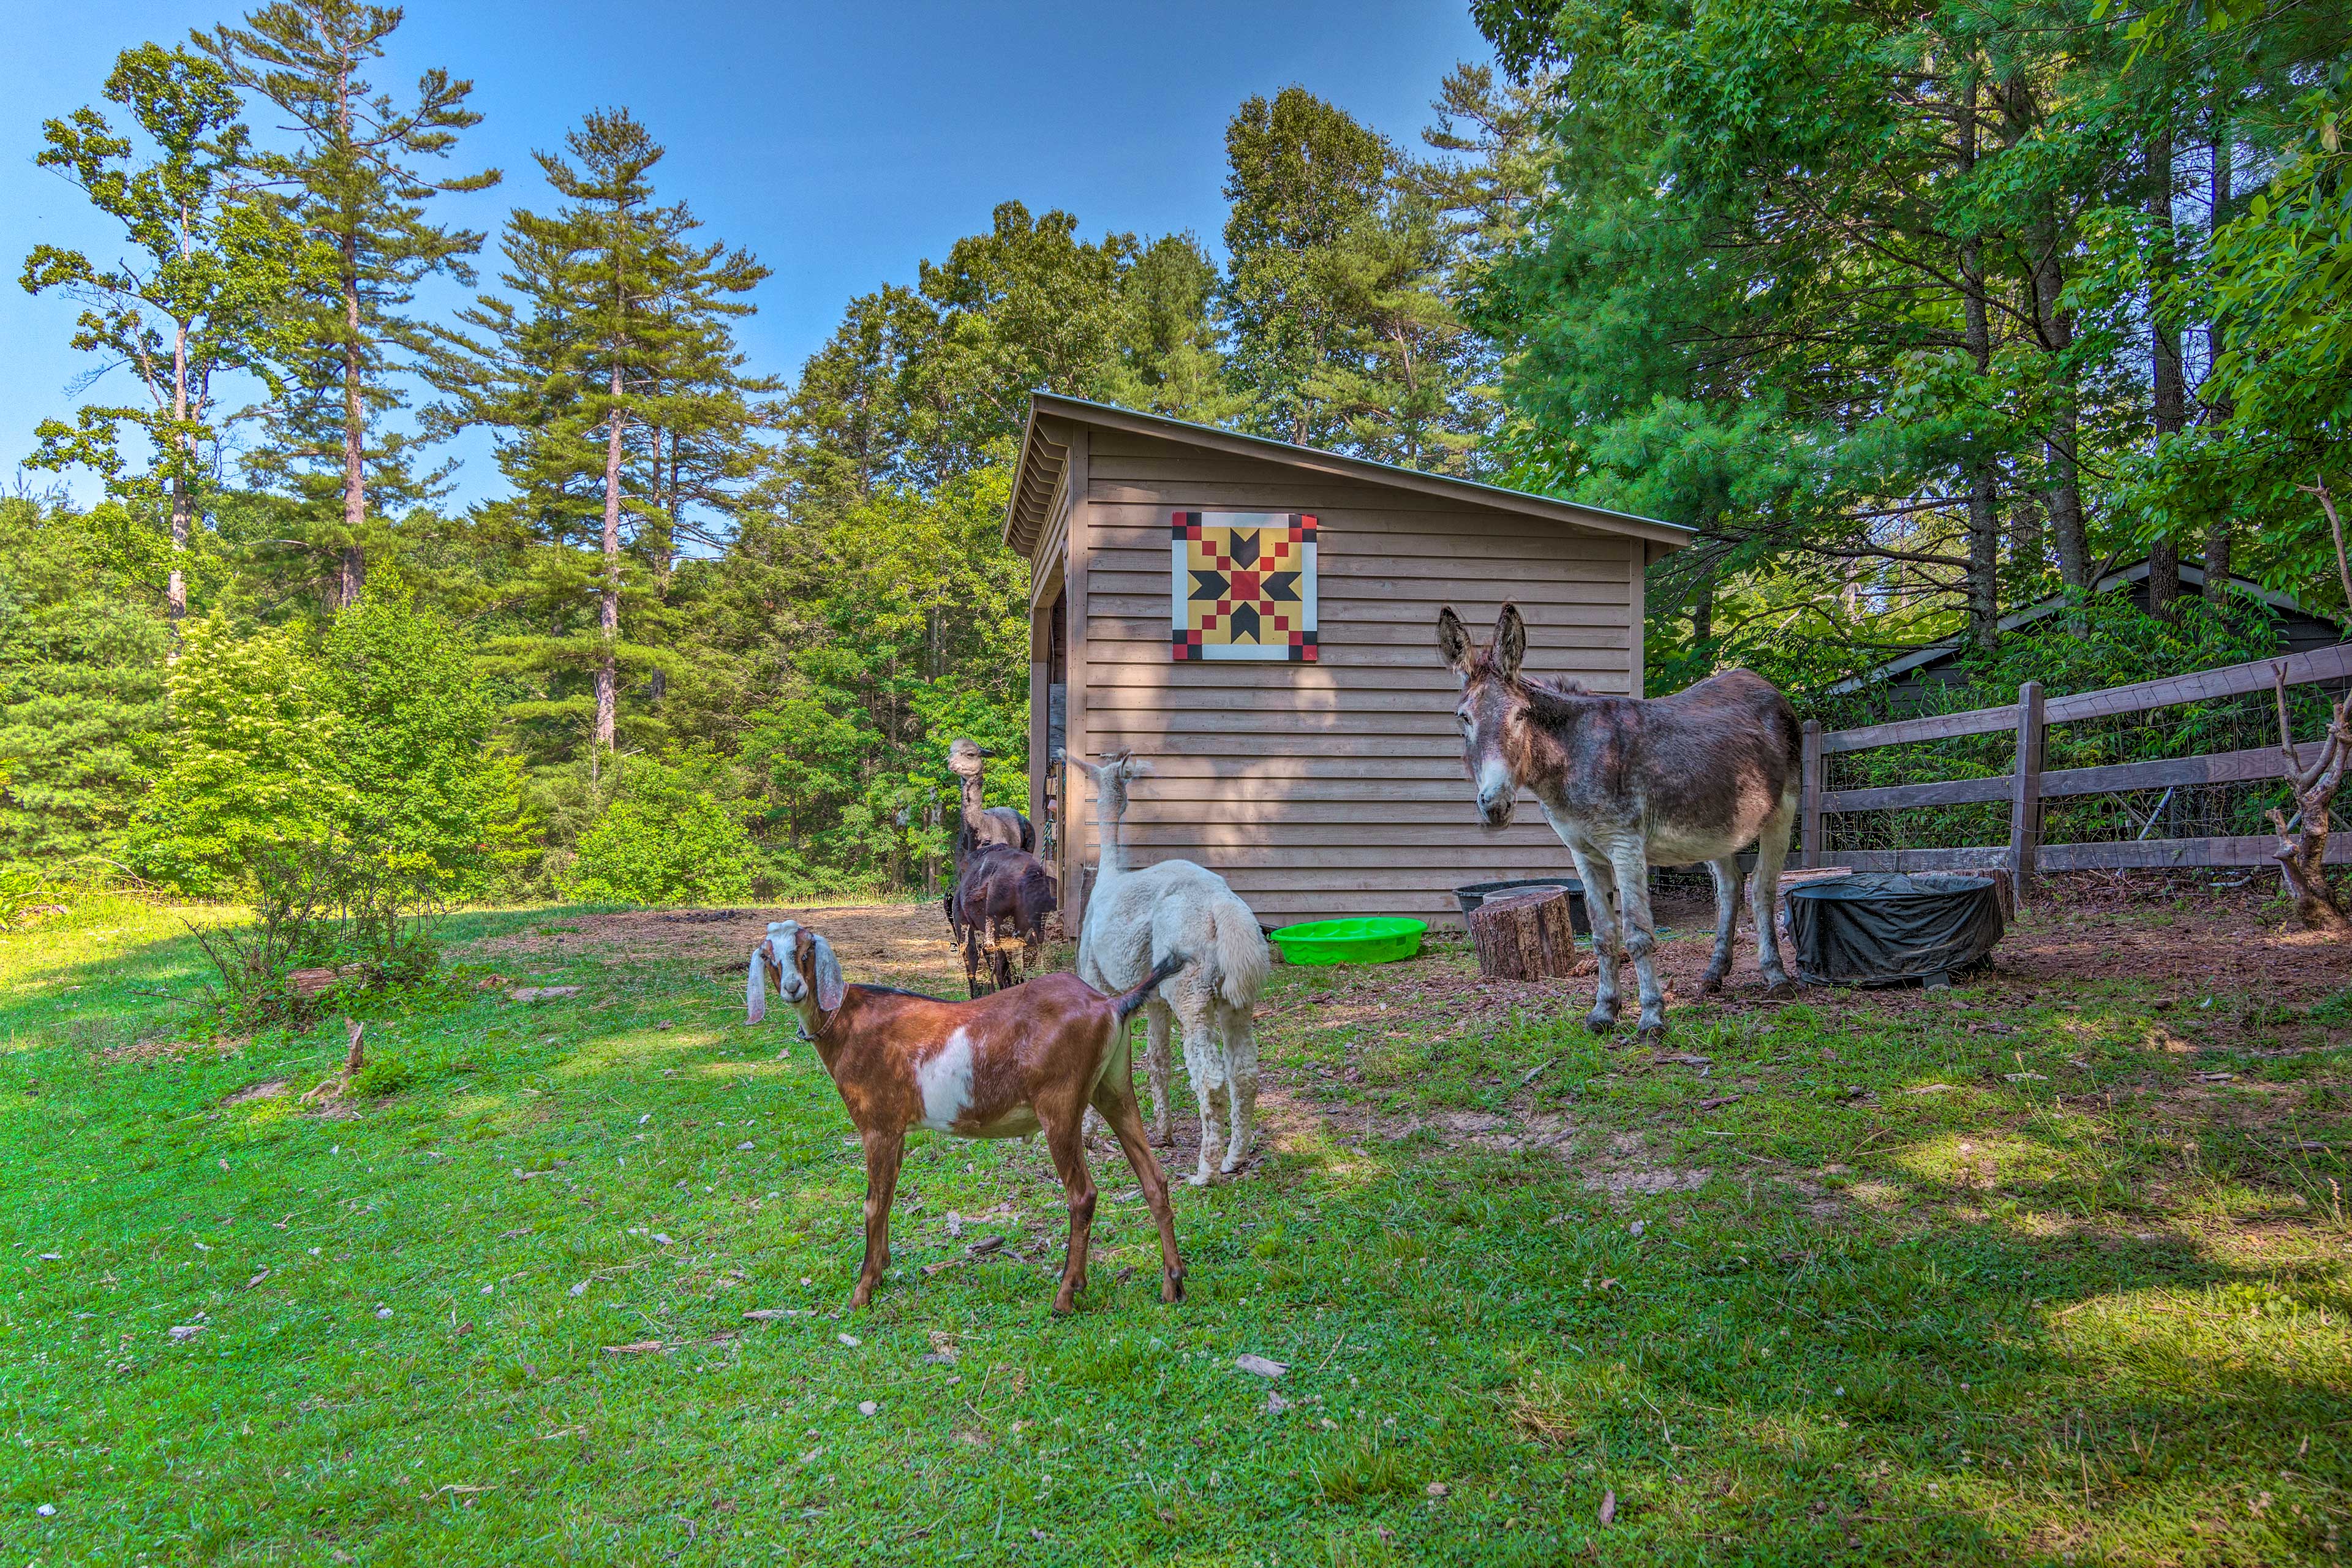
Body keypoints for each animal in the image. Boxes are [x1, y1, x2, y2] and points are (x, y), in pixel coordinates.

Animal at [748, 921, 1194, 1316]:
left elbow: (873, 1203)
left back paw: (1067, 1294)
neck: (847, 1022)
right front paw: (881, 1269)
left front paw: (862, 1292)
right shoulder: (897, 1130)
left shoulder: (878, 1125)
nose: (794, 988)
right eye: (769, 957)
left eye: (806, 951)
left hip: (1060, 1105)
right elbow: (888, 1197)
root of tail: (1109, 1005)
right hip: (1114, 1088)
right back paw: (1173, 1283)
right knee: (1154, 1179)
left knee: (1083, 1195)